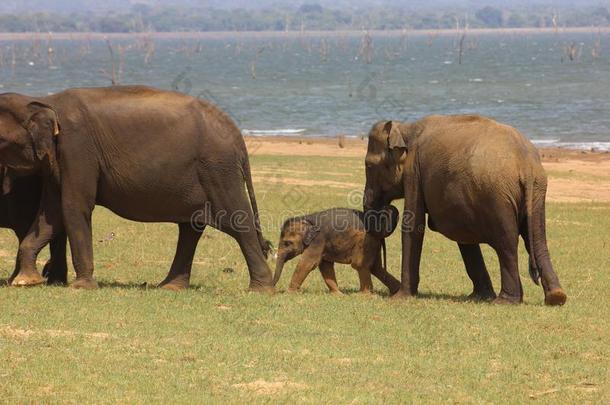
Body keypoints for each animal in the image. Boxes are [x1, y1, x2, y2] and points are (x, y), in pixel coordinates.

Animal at [0, 85, 272, 290]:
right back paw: (169, 287)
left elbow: (74, 206)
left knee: (238, 222)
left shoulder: (77, 148)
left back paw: (259, 289)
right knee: (190, 228)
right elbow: (51, 213)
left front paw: (81, 287)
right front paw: (26, 281)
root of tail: (237, 135)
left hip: (218, 170)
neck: (45, 101)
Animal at [272, 208, 400, 294]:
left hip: (366, 242)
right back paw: (396, 290)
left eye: (287, 243)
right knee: (376, 268)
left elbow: (308, 263)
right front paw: (338, 294)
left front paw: (288, 293)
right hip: (374, 243)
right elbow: (325, 266)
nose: (273, 290)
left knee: (360, 265)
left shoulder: (318, 240)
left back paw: (364, 295)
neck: (306, 219)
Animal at [360, 113, 564, 304]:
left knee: (507, 243)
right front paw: (480, 296)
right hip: (536, 192)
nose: (387, 208)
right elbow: (463, 235)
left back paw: (505, 301)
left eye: (368, 165)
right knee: (536, 239)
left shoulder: (413, 172)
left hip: (498, 196)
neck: (405, 128)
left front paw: (400, 298)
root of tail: (526, 165)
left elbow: (414, 226)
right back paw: (556, 297)